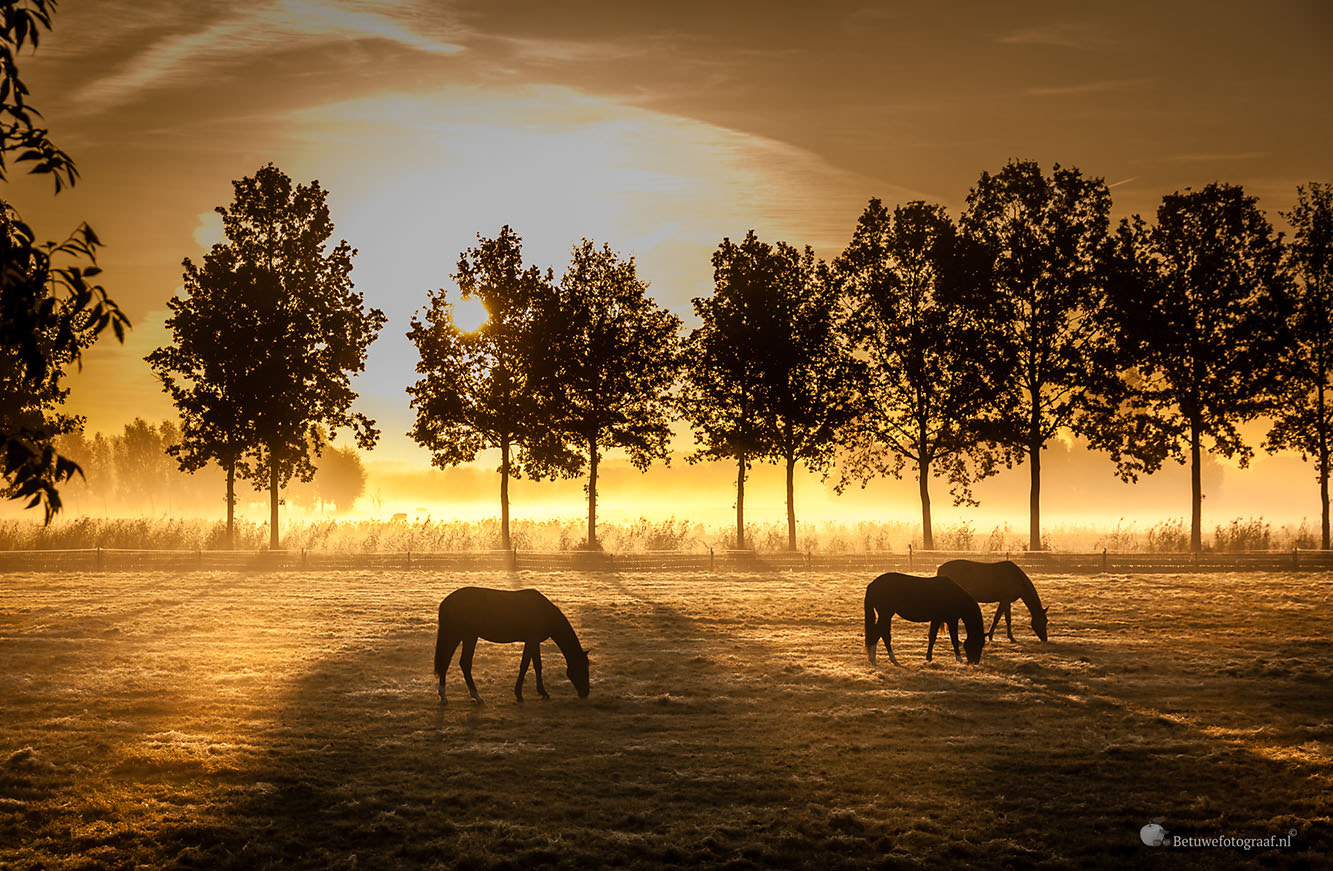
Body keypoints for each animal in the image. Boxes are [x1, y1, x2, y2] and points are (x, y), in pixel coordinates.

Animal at [434, 584, 591, 698]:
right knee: (461, 662)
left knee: (449, 662)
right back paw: (475, 696)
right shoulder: (531, 640)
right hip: (466, 636)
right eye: (582, 668)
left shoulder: (533, 642)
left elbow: (536, 665)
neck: (544, 611)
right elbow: (526, 665)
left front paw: (540, 692)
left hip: (461, 636)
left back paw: (447, 695)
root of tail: (446, 602)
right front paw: (521, 694)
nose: (585, 692)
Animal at [858, 570, 986, 666]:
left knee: (881, 634)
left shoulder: (937, 619)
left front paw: (928, 658)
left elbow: (932, 637)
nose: (974, 662)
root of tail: (873, 585)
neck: (954, 595)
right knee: (880, 633)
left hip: (886, 615)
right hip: (886, 614)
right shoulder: (952, 620)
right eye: (979, 644)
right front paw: (959, 659)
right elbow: (954, 639)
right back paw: (881, 660)